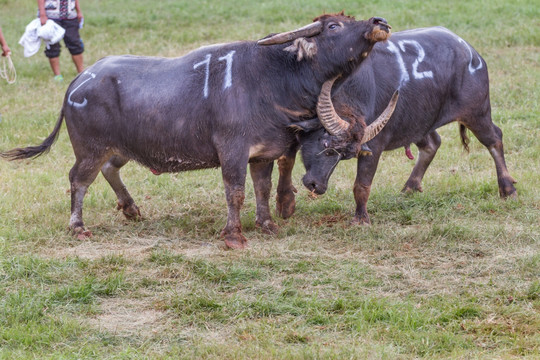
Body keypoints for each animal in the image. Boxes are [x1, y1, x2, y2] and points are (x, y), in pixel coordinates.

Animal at [0, 11, 396, 248]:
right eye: (333, 26)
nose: (379, 21)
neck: (273, 79)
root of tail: (79, 81)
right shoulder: (233, 151)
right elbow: (235, 192)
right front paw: (234, 236)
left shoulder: (264, 153)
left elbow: (262, 189)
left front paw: (267, 224)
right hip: (90, 149)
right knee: (79, 180)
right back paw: (78, 226)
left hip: (120, 148)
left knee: (110, 171)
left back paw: (131, 209)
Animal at [284, 26, 516, 224]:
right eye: (325, 144)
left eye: (340, 153)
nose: (317, 186)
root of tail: (473, 54)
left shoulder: (374, 146)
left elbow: (362, 185)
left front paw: (361, 219)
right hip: (419, 121)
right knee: (432, 144)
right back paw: (410, 188)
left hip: (478, 113)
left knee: (495, 139)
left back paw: (508, 189)